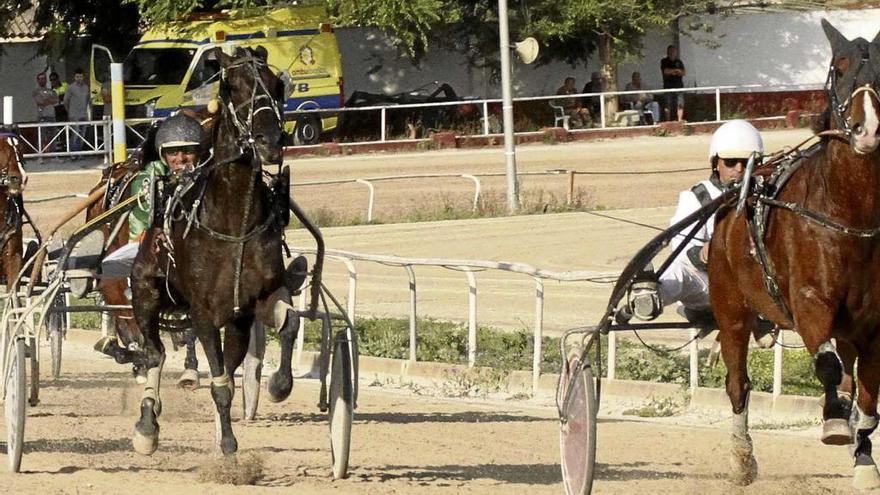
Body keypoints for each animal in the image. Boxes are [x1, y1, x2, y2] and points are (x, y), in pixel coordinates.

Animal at [129, 47, 296, 458]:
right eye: (232, 87)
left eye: (276, 85)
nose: (269, 140)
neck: (234, 223)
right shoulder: (203, 313)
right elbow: (219, 383)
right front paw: (228, 443)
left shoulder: (255, 301)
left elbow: (288, 324)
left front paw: (279, 384)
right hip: (144, 290)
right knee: (154, 353)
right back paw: (147, 424)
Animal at [712, 21, 880, 490]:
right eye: (839, 67)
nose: (867, 128)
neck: (847, 212)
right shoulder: (808, 304)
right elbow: (828, 366)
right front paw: (836, 422)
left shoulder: (872, 321)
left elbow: (868, 393)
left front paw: (863, 454)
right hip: (731, 309)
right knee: (738, 383)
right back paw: (742, 457)